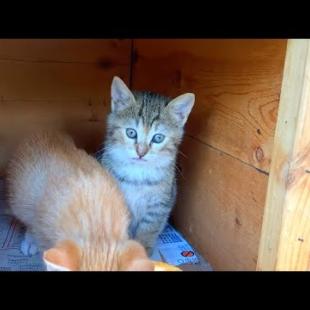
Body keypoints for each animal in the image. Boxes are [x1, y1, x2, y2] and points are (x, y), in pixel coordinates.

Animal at [100, 77, 195, 254]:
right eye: (131, 133)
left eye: (158, 138)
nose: (141, 152)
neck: (138, 175)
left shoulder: (160, 205)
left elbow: (148, 230)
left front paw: (142, 250)